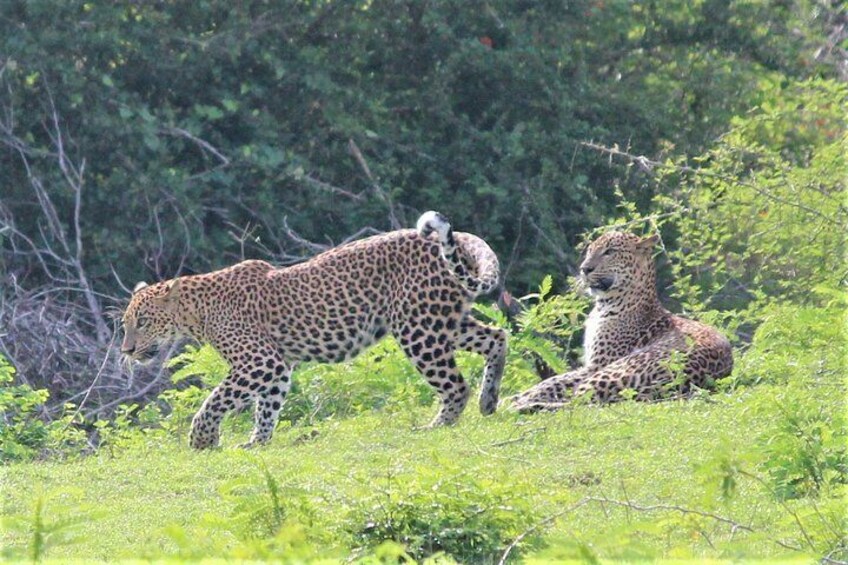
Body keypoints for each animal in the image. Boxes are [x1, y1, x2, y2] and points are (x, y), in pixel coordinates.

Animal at [122, 212, 506, 450]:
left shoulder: (258, 362)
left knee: (455, 384)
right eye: (125, 325)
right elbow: (268, 406)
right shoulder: (277, 366)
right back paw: (489, 400)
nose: (126, 350)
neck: (197, 310)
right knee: (497, 337)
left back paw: (439, 424)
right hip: (443, 321)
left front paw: (202, 439)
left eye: (143, 322)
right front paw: (257, 442)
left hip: (418, 329)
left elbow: (216, 398)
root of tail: (464, 237)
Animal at [506, 229, 732, 410]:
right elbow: (552, 381)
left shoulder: (596, 365)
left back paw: (521, 407)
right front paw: (515, 396)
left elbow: (554, 382)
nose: (584, 269)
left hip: (616, 369)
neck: (605, 304)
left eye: (609, 252)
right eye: (590, 251)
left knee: (578, 403)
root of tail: (677, 382)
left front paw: (518, 398)